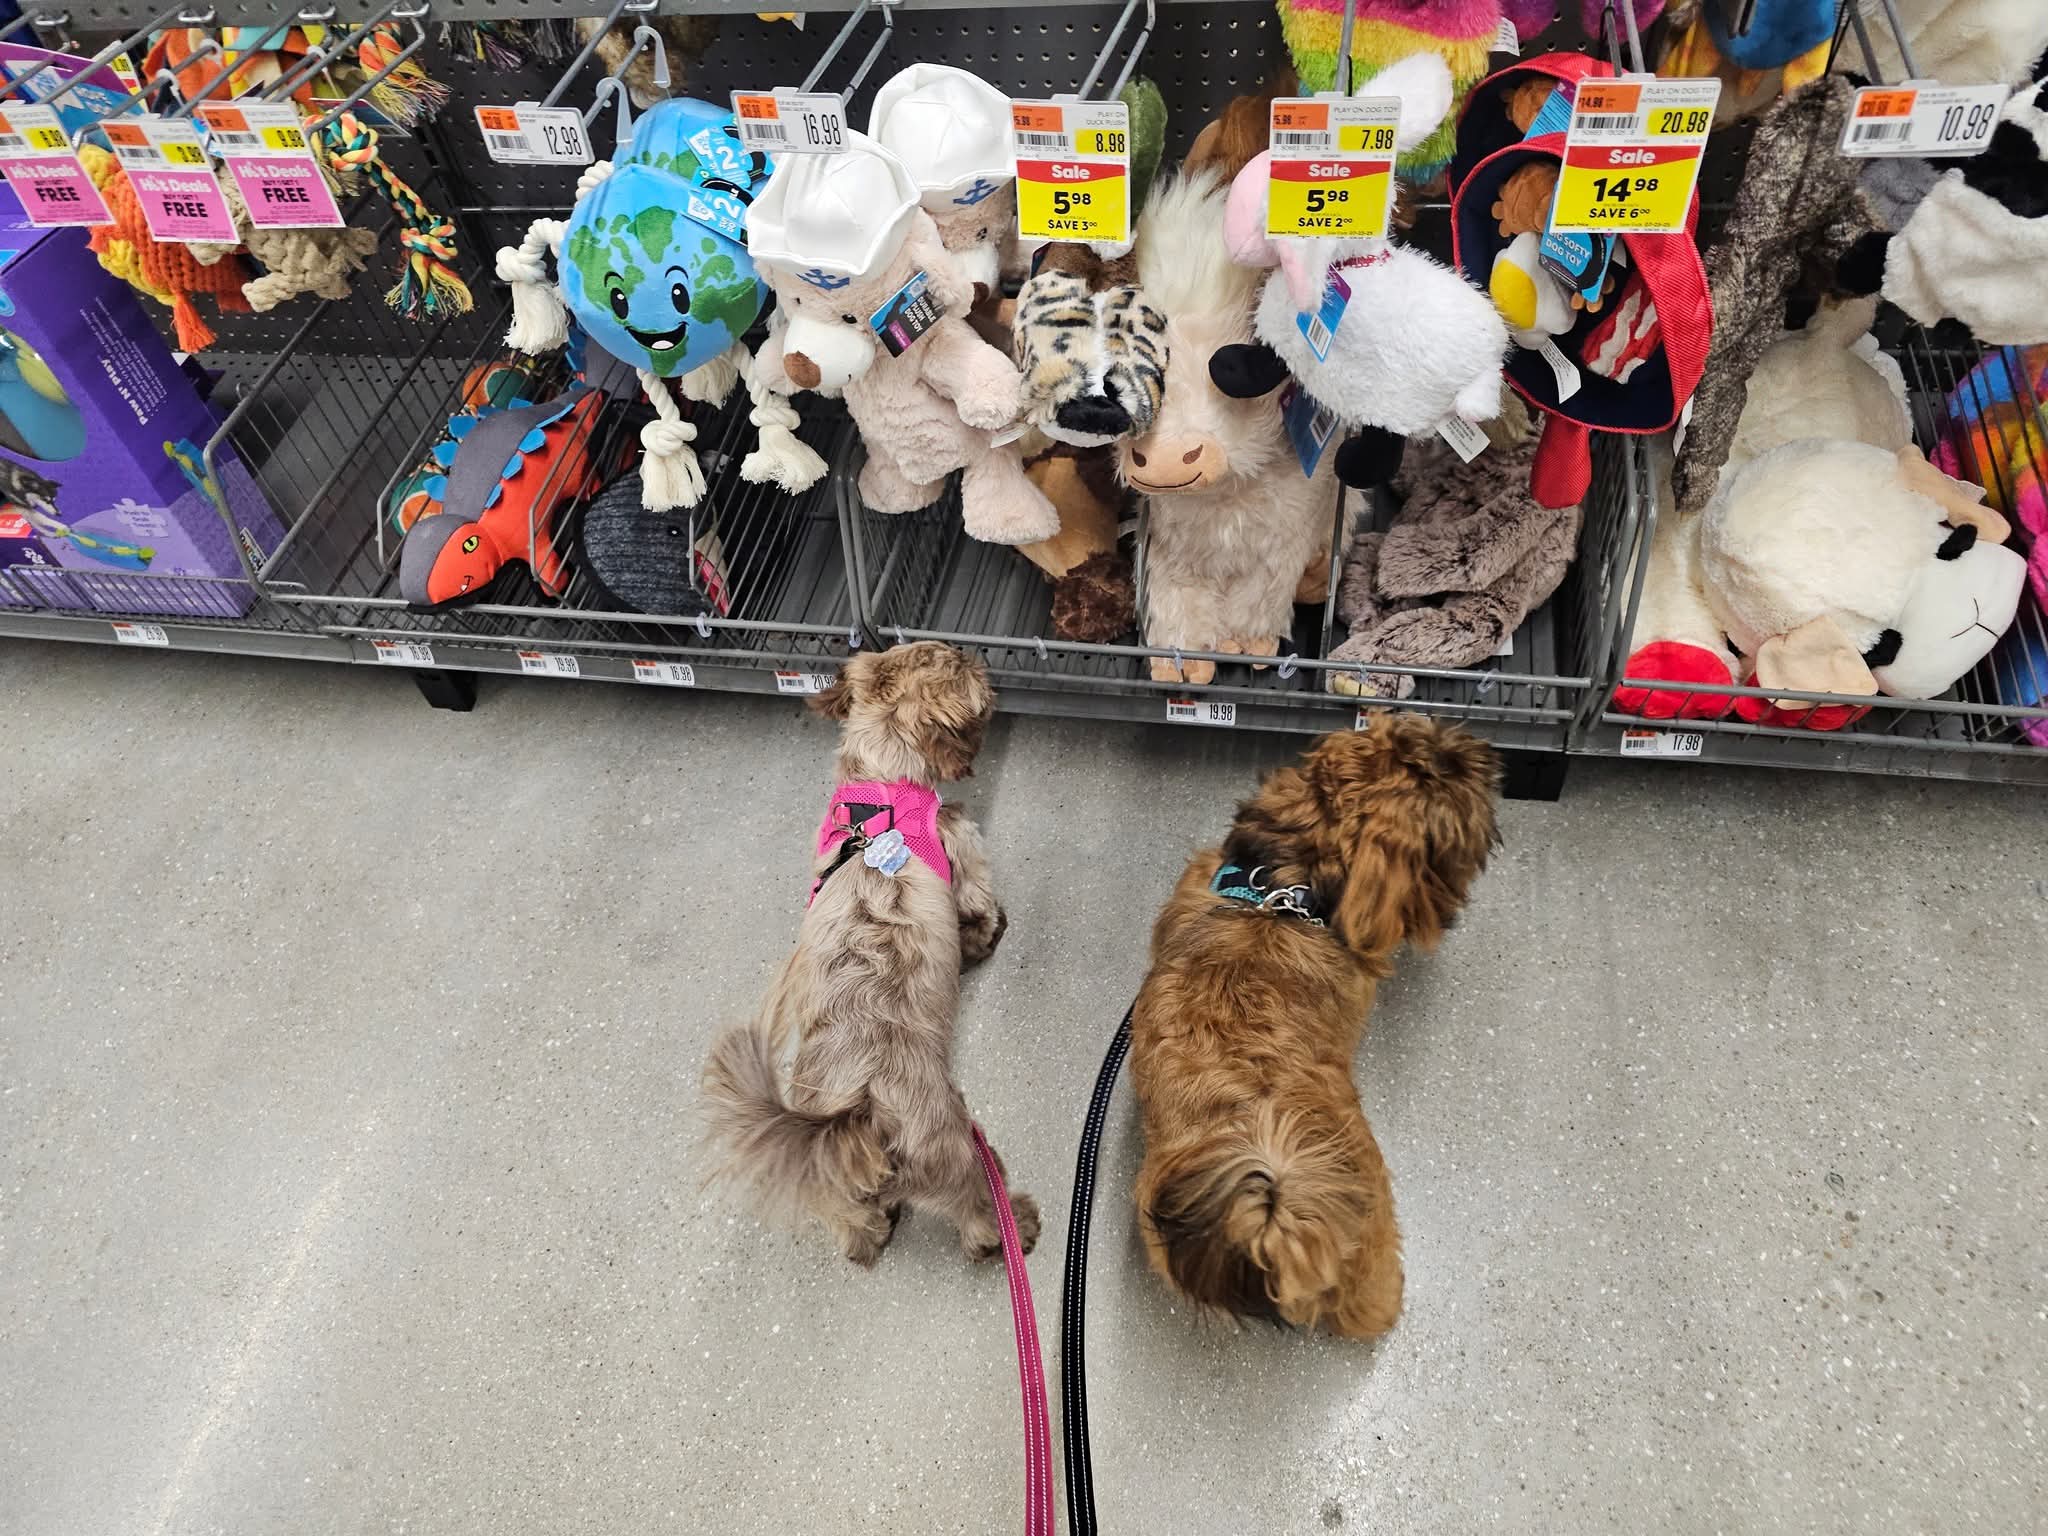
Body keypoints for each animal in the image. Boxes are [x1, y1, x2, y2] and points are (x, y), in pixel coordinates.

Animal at [703, 642, 1039, 1266]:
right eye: (956, 662)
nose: (973, 653)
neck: (878, 788)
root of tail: (859, 1112)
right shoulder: (959, 839)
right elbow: (976, 904)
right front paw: (985, 937)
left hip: (836, 1182)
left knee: (850, 1221)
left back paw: (869, 1237)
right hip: (954, 1150)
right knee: (978, 1212)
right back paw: (1013, 1226)